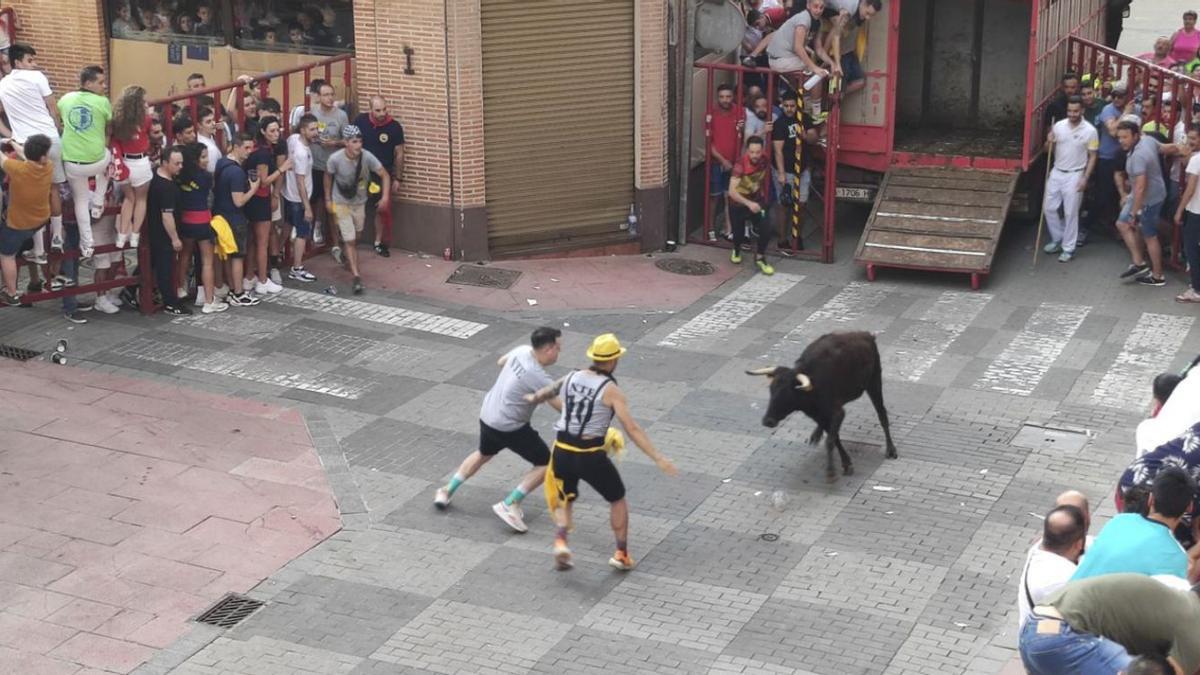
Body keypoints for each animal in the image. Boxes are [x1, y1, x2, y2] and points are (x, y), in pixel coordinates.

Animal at [744, 331, 897, 478]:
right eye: (771, 389)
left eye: (787, 394)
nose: (767, 421)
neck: (812, 388)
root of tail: (866, 334)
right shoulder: (817, 415)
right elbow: (834, 437)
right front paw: (845, 462)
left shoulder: (837, 412)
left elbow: (830, 440)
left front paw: (833, 470)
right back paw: (817, 433)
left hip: (874, 382)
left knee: (882, 414)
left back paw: (891, 449)